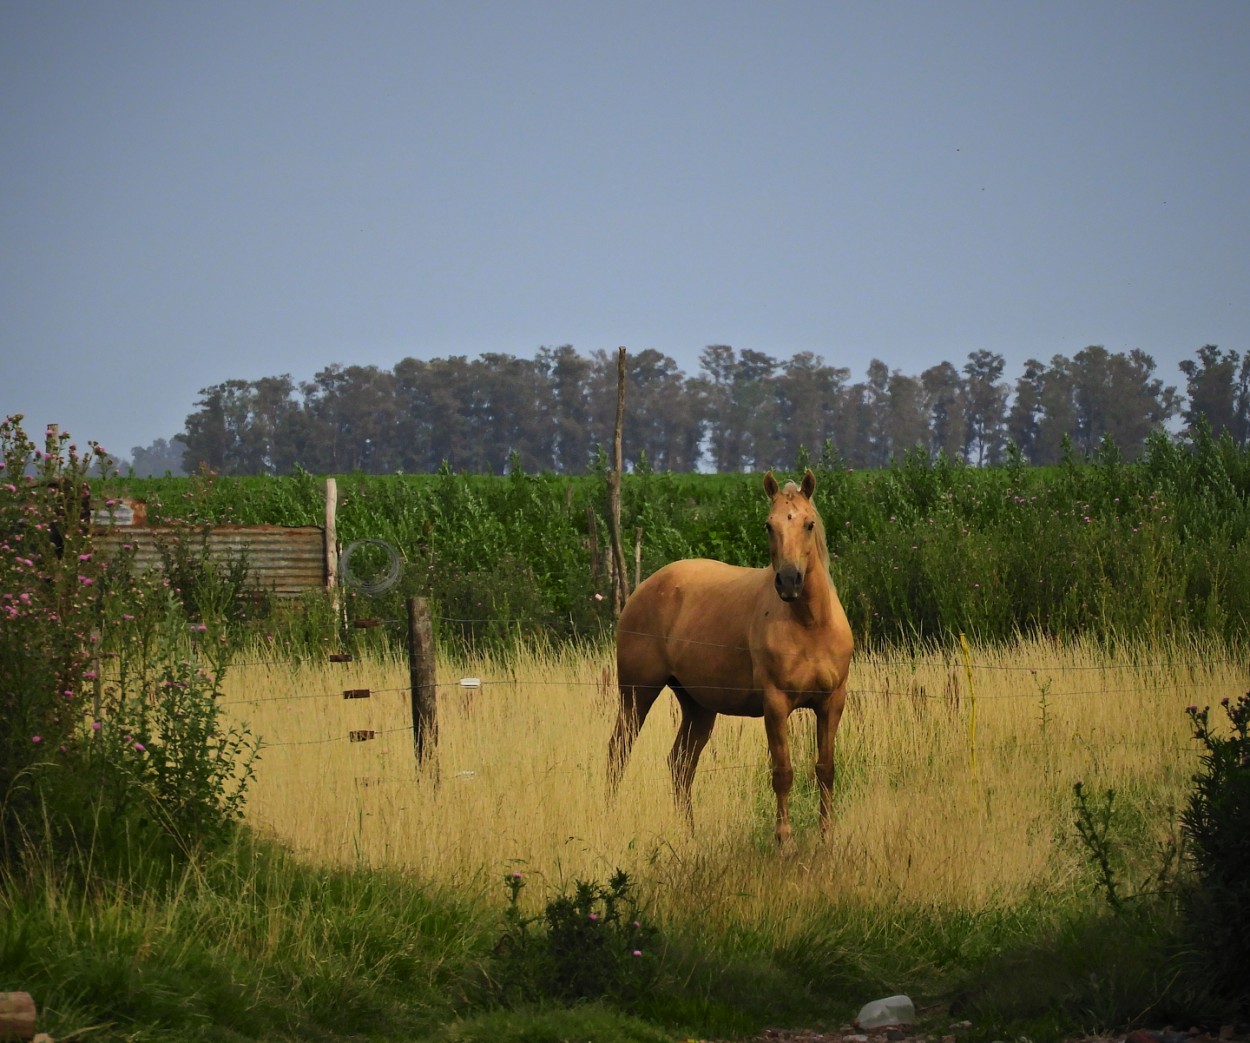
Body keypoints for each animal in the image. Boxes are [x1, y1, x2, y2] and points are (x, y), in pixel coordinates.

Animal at [610, 470, 855, 845]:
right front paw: (785, 840)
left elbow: (825, 769)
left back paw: (690, 835)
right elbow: (783, 772)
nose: (789, 581)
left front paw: (827, 837)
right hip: (637, 693)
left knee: (681, 764)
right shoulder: (775, 704)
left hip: (697, 706)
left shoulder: (832, 702)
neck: (810, 625)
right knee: (618, 754)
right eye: (769, 525)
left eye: (809, 523)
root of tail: (644, 588)